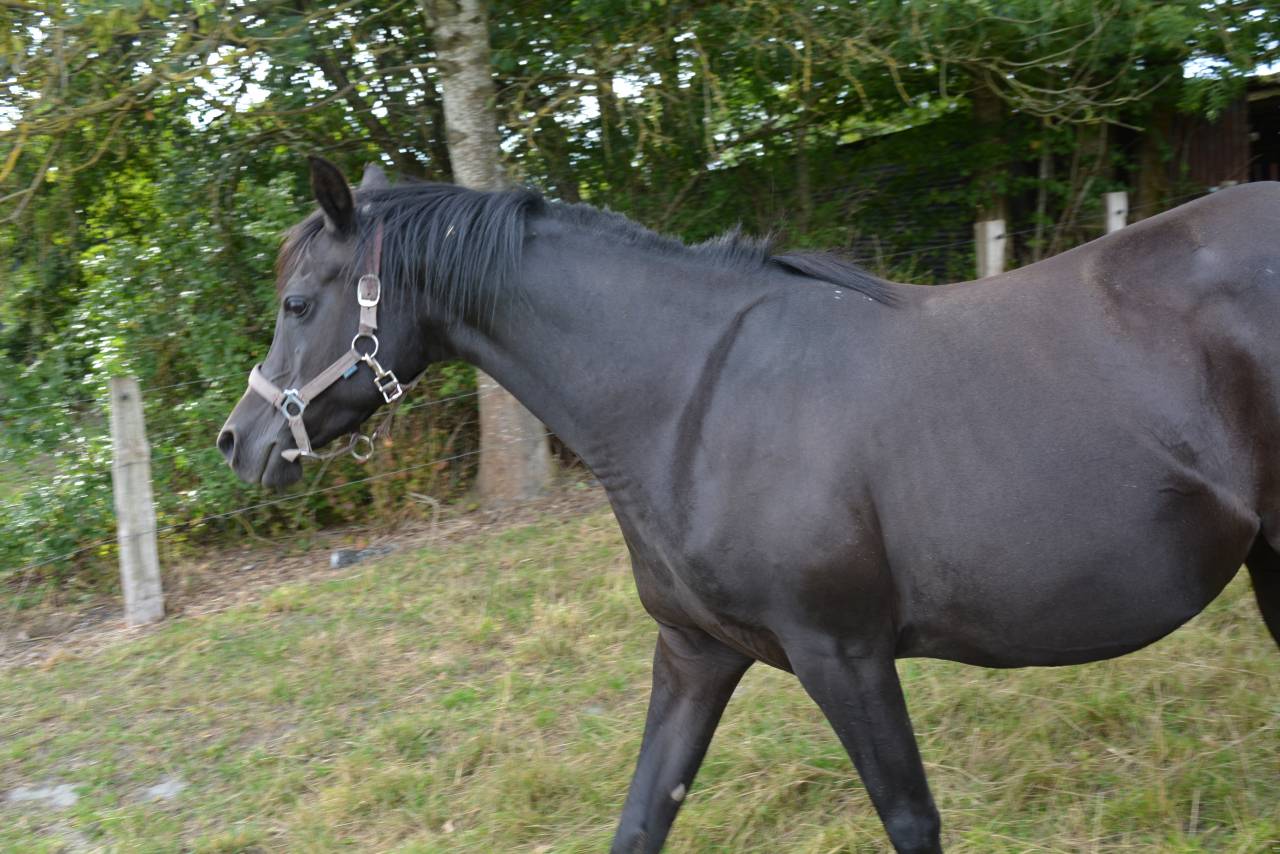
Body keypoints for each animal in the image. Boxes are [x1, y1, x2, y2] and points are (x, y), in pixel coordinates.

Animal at [218, 156, 1280, 853]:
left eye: (299, 304)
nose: (242, 441)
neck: (693, 397)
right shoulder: (697, 653)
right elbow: (642, 817)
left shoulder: (843, 655)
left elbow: (911, 820)